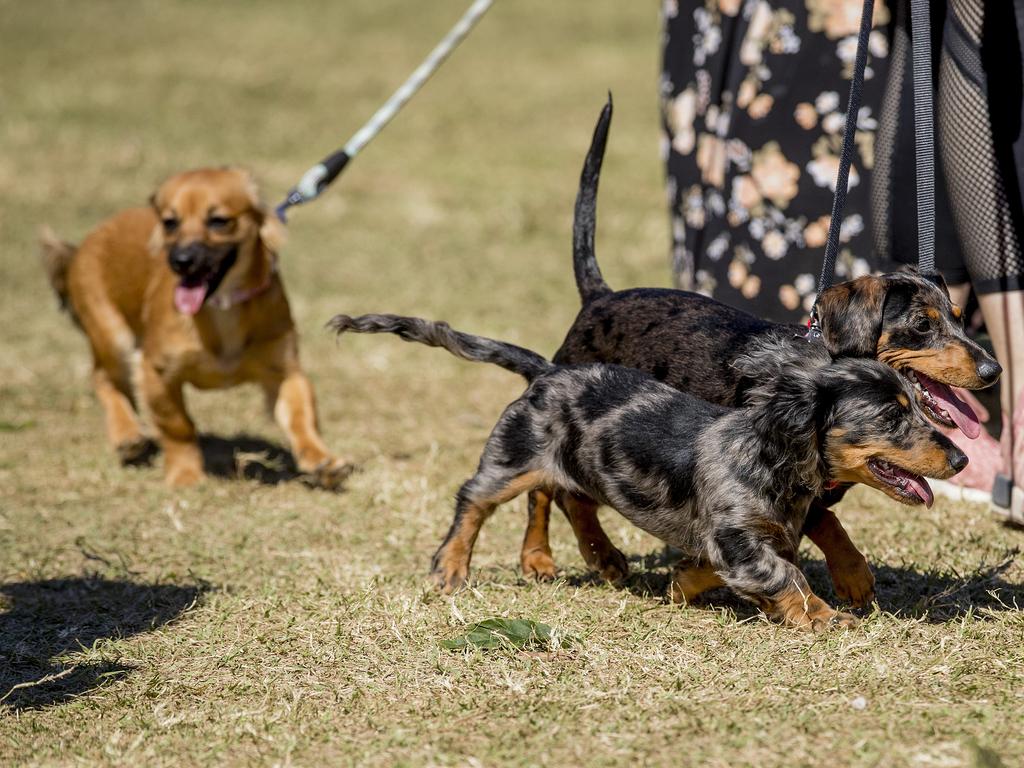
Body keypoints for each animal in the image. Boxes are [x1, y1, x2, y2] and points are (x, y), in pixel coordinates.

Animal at [41, 171, 352, 489]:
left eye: (218, 221)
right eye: (170, 222)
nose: (181, 261)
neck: (222, 304)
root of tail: (86, 242)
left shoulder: (284, 370)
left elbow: (301, 415)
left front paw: (322, 461)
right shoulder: (156, 371)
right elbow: (177, 425)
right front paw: (185, 474)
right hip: (112, 336)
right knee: (103, 378)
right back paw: (127, 434)